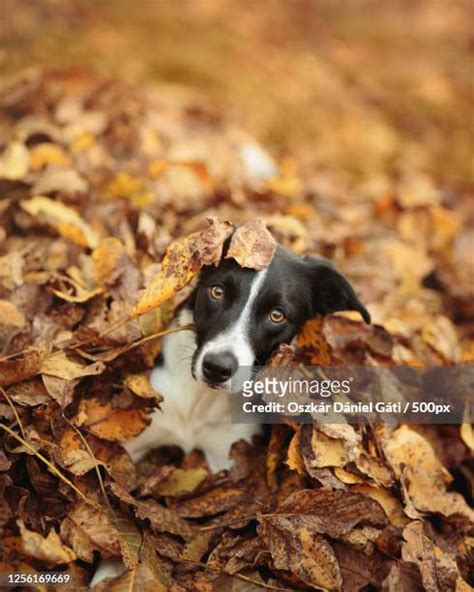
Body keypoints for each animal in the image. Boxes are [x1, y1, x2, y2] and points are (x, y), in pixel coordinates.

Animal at [90, 246, 370, 588]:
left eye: (277, 315)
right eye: (217, 291)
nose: (217, 367)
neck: (199, 403)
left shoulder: (227, 458)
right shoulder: (136, 435)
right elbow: (114, 493)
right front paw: (111, 568)